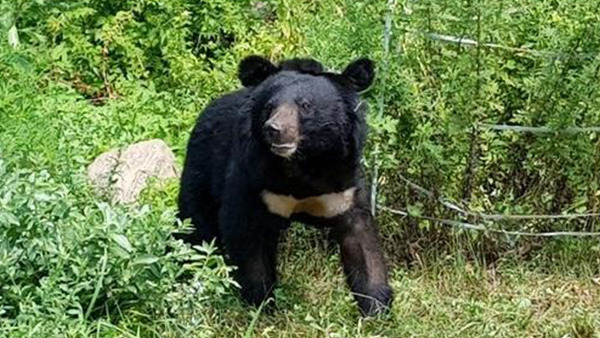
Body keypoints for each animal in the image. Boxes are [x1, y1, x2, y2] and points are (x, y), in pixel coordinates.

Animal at [177, 55, 394, 316]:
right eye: (270, 107)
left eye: (305, 106)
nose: (274, 129)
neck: (302, 164)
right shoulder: (253, 178)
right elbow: (248, 236)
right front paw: (262, 303)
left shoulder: (344, 185)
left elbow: (362, 241)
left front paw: (376, 307)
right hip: (202, 169)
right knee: (196, 226)